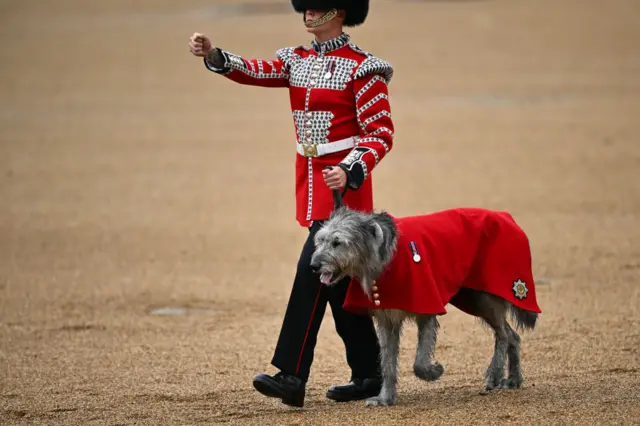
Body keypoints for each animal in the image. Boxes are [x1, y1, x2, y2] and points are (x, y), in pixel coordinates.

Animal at [308, 192, 536, 406]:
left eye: (338, 242)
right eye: (320, 240)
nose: (313, 266)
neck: (386, 259)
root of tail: (505, 216)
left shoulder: (426, 308)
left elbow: (419, 363)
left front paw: (434, 371)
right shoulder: (387, 318)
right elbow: (387, 362)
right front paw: (385, 398)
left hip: (485, 297)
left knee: (503, 334)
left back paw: (494, 375)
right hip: (471, 298)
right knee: (512, 335)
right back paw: (513, 379)